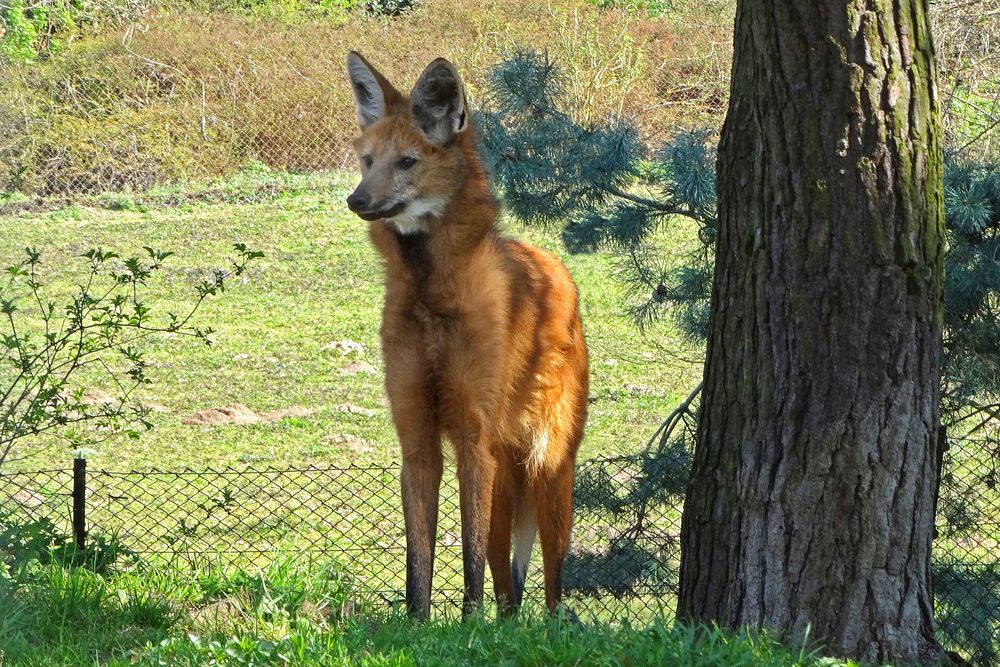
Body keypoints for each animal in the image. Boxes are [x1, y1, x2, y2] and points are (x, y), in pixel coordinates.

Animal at [348, 52, 588, 620]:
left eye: (407, 162)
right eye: (367, 161)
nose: (356, 199)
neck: (430, 294)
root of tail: (557, 270)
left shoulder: (471, 435)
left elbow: (470, 556)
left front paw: (467, 624)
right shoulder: (417, 434)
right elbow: (420, 558)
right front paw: (418, 624)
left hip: (546, 467)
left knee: (551, 580)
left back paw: (547, 626)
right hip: (506, 471)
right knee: (508, 580)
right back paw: (507, 623)